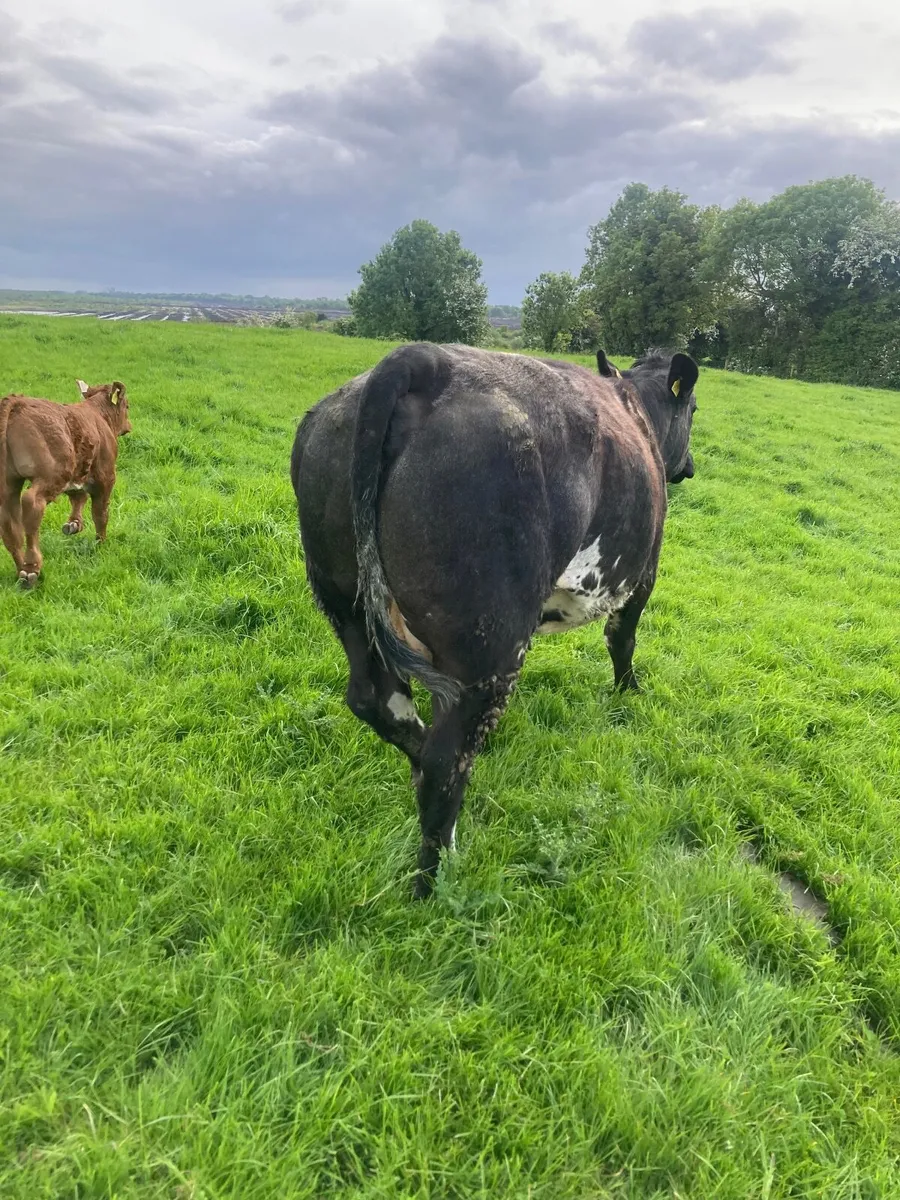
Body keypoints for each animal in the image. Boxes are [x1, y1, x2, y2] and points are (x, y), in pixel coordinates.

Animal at [0, 379, 132, 587]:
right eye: (127, 406)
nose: (129, 426)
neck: (98, 415)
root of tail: (17, 401)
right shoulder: (106, 476)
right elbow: (100, 513)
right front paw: (100, 543)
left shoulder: (78, 473)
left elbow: (78, 496)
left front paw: (74, 525)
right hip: (51, 475)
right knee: (31, 503)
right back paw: (31, 569)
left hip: (9, 482)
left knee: (8, 521)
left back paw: (21, 569)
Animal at [291, 342, 698, 897]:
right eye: (694, 410)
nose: (690, 466)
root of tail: (423, 359)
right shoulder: (643, 574)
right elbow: (623, 640)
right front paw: (628, 693)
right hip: (487, 642)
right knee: (446, 757)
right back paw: (434, 879)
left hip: (347, 604)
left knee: (379, 703)